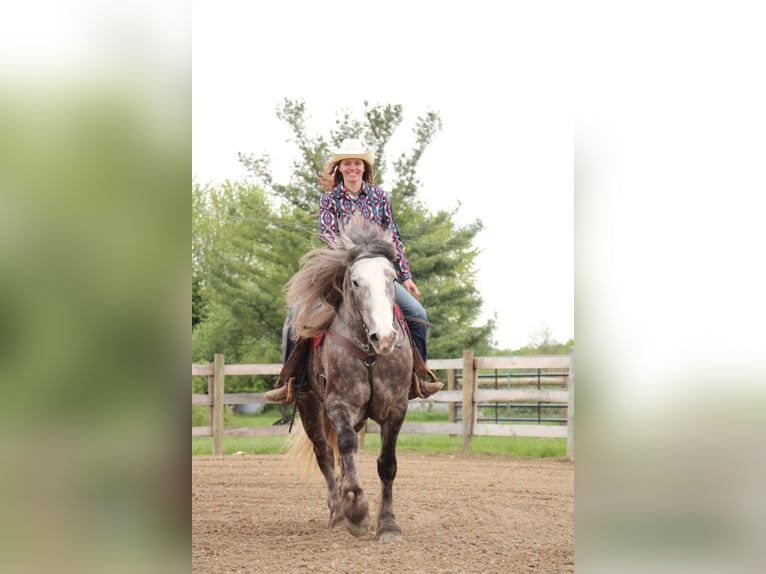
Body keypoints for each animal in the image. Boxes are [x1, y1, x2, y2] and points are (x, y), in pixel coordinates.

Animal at [284, 216, 414, 544]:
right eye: (355, 281)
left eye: (392, 278)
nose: (384, 337)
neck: (369, 354)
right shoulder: (338, 404)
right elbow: (343, 445)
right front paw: (356, 511)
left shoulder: (396, 407)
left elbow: (387, 464)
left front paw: (388, 525)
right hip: (309, 405)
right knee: (326, 455)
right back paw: (338, 511)